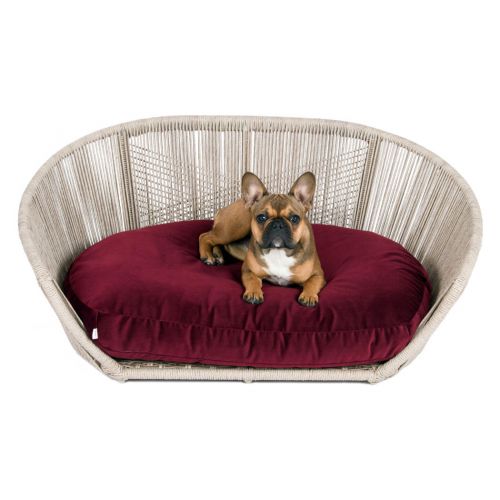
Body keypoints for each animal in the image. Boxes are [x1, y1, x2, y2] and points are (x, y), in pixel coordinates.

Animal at [199, 172, 326, 307]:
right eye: (261, 217)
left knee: (220, 243)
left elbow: (312, 282)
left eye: (295, 218)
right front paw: (254, 293)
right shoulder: (248, 270)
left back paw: (217, 255)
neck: (279, 251)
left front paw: (308, 296)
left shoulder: (318, 274)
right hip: (232, 229)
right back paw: (207, 255)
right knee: (206, 236)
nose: (277, 224)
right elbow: (252, 280)